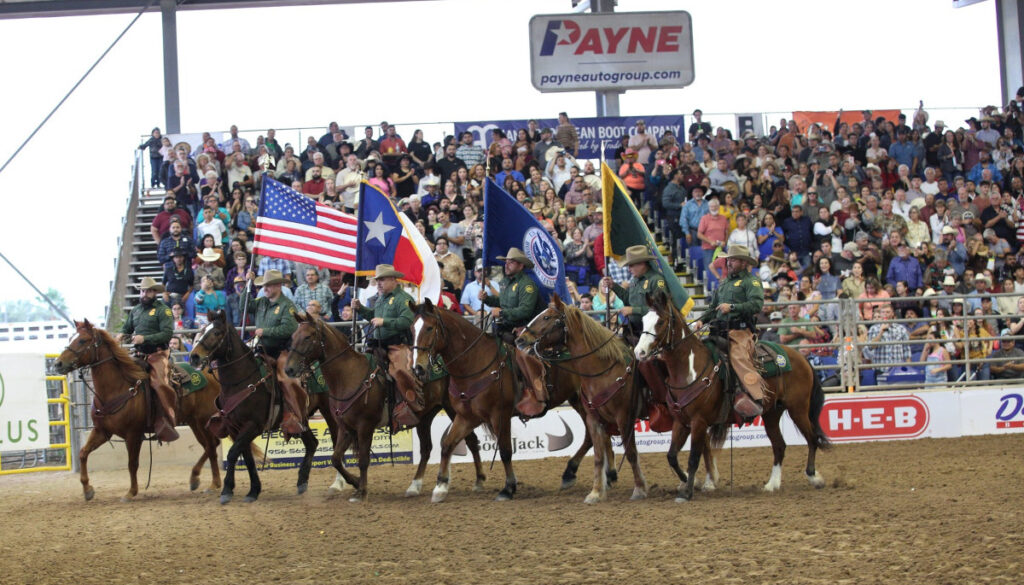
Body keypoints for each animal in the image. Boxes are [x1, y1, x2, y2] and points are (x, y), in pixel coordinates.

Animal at [52, 319, 225, 504]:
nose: (58, 364)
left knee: (211, 446)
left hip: (204, 419)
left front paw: (131, 492)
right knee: (210, 445)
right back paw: (200, 479)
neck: (117, 388)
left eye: (82, 341)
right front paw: (87, 489)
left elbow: (132, 463)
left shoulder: (133, 434)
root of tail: (212, 374)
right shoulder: (102, 431)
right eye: (71, 338)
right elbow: (83, 453)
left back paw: (212, 483)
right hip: (194, 422)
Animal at [190, 309, 317, 506]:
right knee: (312, 443)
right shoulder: (235, 428)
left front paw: (227, 490)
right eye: (202, 330)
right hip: (304, 421)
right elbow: (247, 458)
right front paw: (253, 491)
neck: (241, 382)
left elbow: (233, 453)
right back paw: (302, 481)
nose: (194, 356)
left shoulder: (252, 425)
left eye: (216, 333)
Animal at [520, 295, 647, 506]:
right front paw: (596, 492)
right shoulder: (594, 417)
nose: (520, 339)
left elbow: (631, 453)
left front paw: (639, 488)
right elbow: (598, 456)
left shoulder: (624, 418)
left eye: (547, 317)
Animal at [630, 290, 831, 502]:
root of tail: (801, 357)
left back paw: (814, 477)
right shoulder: (681, 422)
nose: (639, 352)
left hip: (798, 409)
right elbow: (671, 456)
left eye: (660, 322)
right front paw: (688, 482)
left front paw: (688, 491)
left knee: (812, 438)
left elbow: (693, 458)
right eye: (643, 321)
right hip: (771, 414)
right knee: (779, 446)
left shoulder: (699, 422)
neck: (690, 369)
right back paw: (772, 484)